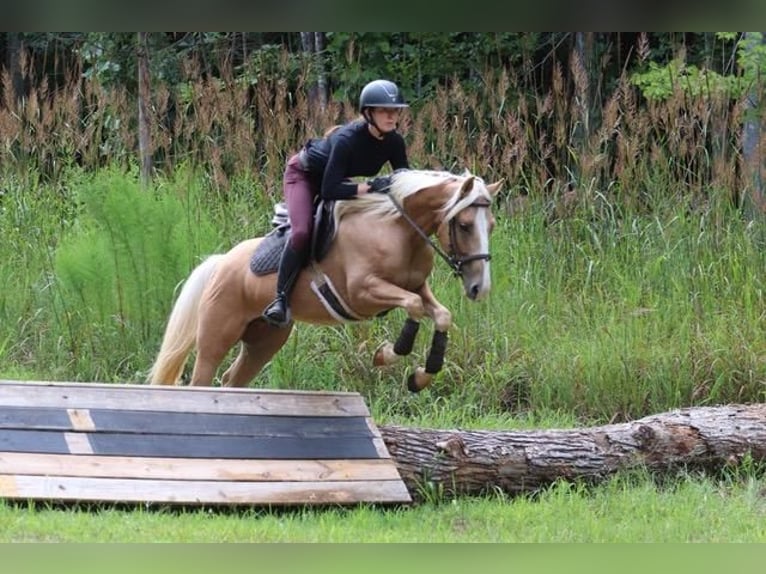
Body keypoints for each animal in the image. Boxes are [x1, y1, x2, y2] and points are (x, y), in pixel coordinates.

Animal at [148, 169, 504, 394]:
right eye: (464, 225)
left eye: (491, 225)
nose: (480, 288)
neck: (398, 231)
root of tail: (221, 262)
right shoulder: (363, 293)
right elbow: (414, 307)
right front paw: (386, 355)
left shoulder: (416, 287)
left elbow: (441, 314)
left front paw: (420, 378)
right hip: (217, 334)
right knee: (202, 378)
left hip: (265, 339)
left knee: (233, 379)